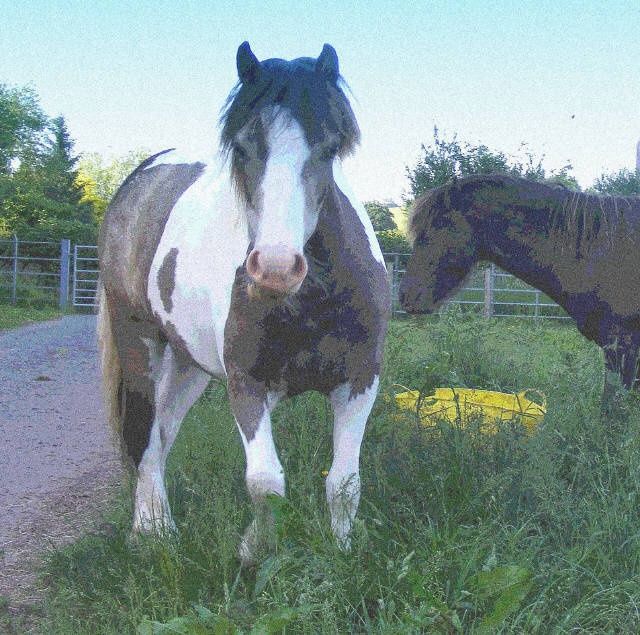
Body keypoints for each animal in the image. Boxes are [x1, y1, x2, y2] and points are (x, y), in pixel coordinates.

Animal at [97, 42, 390, 564]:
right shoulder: (247, 384)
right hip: (138, 339)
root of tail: (136, 181)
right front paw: (256, 552)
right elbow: (265, 483)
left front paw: (341, 551)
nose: (275, 267)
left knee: (164, 429)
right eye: (241, 147)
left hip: (189, 363)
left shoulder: (359, 380)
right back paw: (153, 530)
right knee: (144, 431)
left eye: (330, 147)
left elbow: (344, 483)